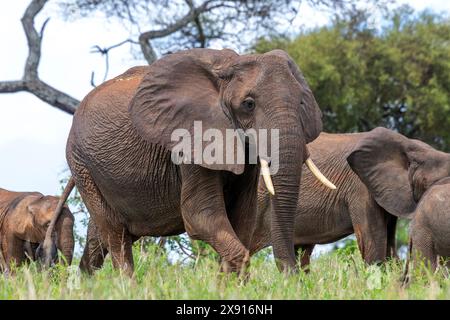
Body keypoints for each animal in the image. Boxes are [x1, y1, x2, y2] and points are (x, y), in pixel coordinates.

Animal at [44, 48, 336, 276]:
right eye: (249, 104)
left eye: (302, 102)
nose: (294, 277)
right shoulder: (190, 137)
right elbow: (201, 217)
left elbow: (243, 217)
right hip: (81, 164)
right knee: (115, 235)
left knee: (99, 237)